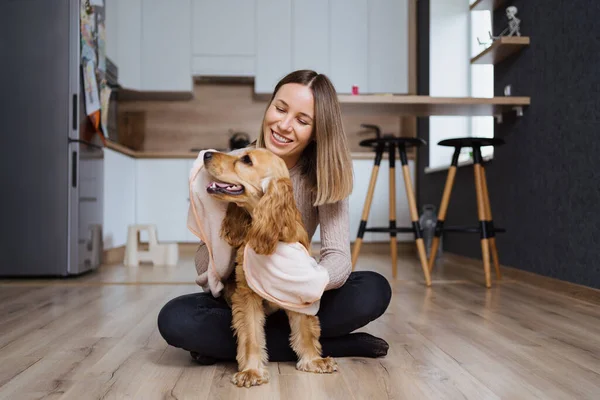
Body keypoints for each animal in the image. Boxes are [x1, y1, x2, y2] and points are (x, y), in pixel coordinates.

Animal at [204, 148, 338, 388]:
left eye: (246, 160)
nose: (206, 154)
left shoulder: (299, 289)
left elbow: (305, 328)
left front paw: (313, 360)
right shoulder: (246, 294)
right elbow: (251, 333)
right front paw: (251, 371)